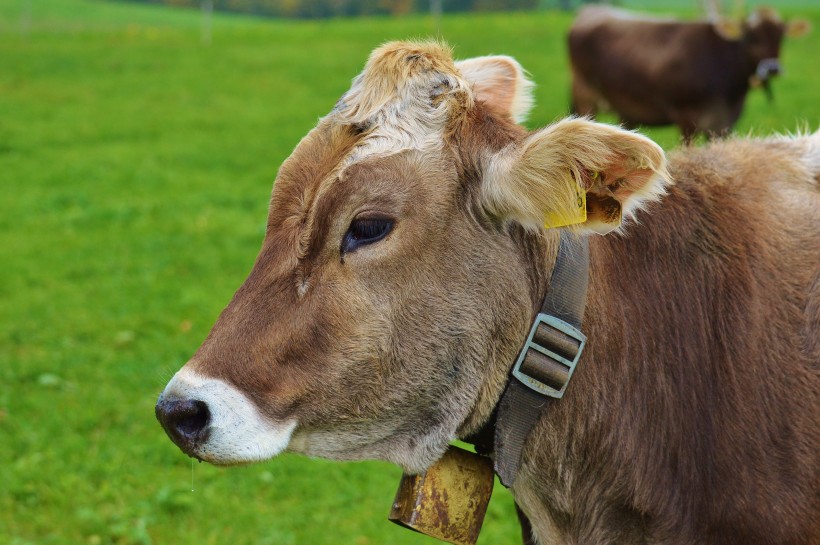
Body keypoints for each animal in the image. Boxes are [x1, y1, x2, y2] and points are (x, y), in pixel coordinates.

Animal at [568, 5, 812, 141]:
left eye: (780, 35)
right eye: (752, 36)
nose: (772, 68)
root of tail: (592, 10)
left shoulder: (725, 124)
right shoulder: (687, 119)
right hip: (585, 95)